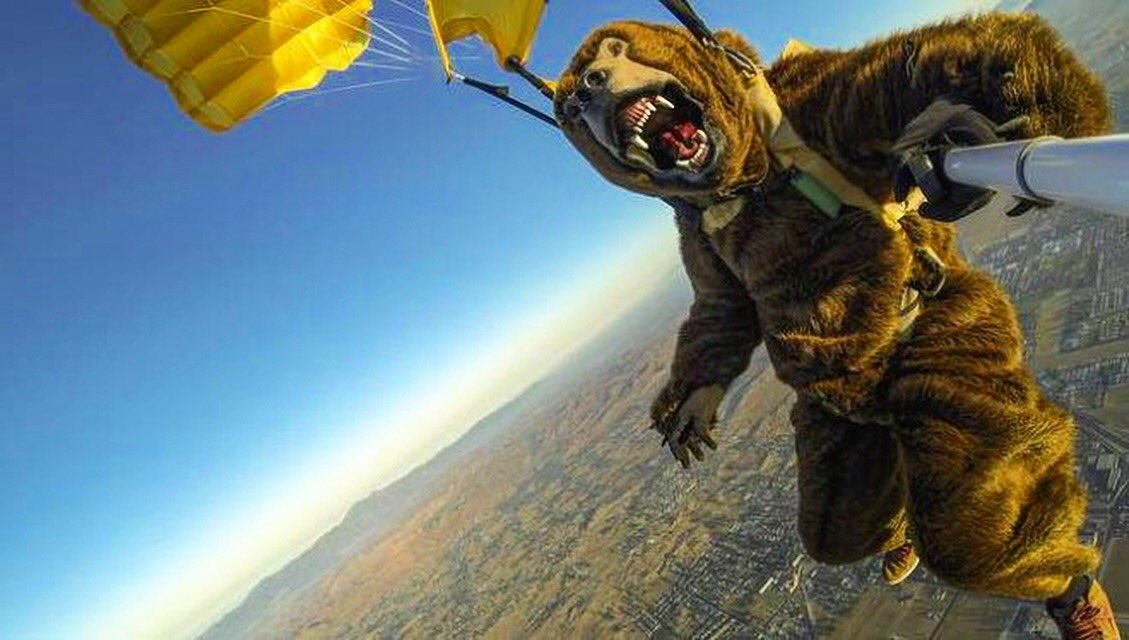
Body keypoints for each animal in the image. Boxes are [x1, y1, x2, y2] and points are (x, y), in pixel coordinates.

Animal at [552, 12, 1118, 635]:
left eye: (613, 49)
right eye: (572, 103)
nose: (588, 88)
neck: (744, 182)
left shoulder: (819, 99)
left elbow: (917, 66)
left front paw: (1013, 119)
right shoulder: (696, 236)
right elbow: (723, 306)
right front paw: (693, 402)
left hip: (953, 342)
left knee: (976, 530)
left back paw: (1073, 596)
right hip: (834, 434)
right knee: (839, 528)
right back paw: (898, 542)